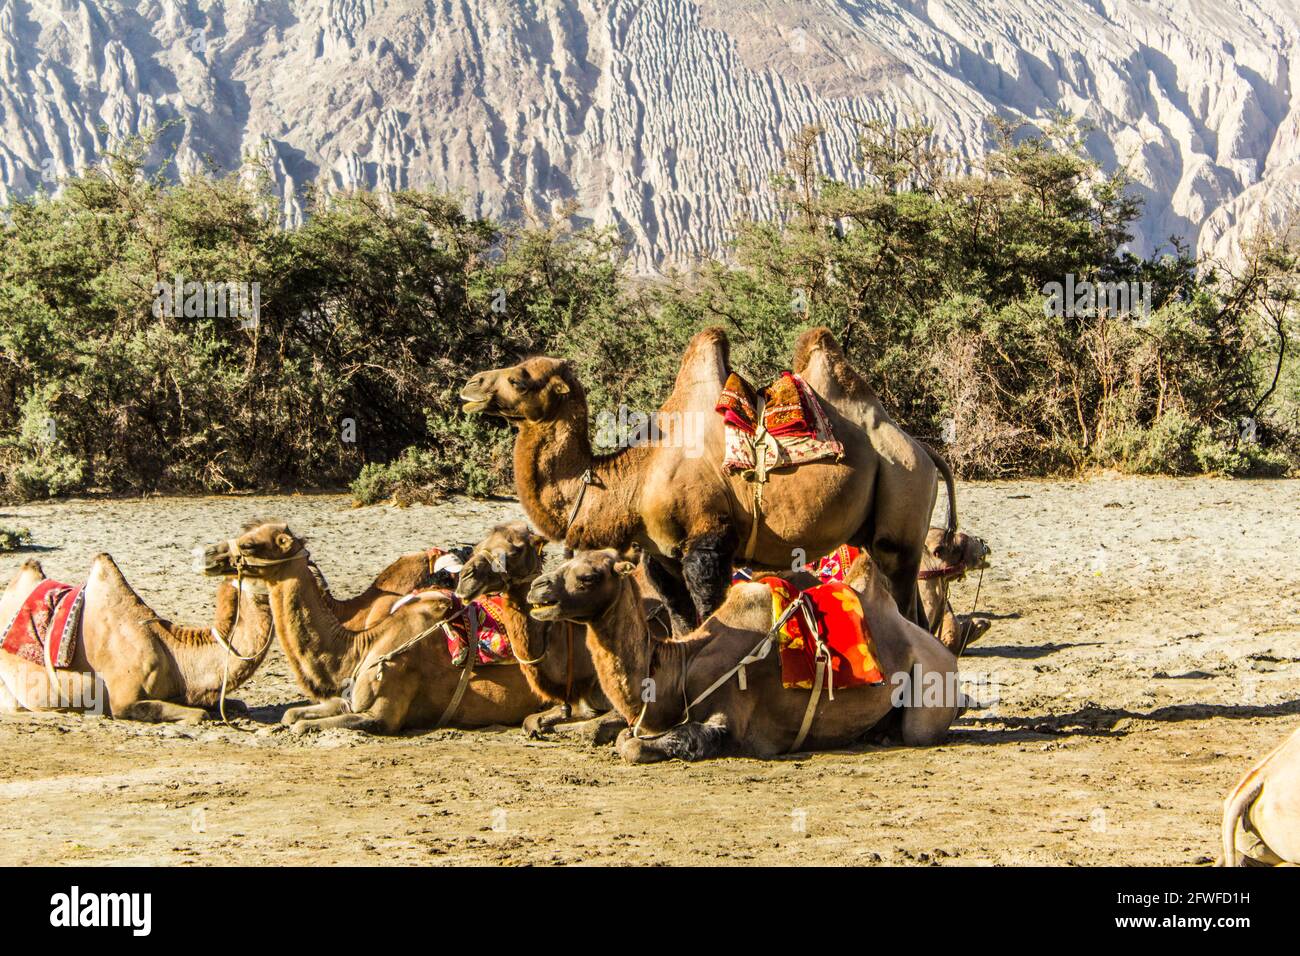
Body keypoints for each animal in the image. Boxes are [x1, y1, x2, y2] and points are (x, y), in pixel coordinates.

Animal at [199, 521, 545, 734]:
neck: (360, 644)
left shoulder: (381, 716)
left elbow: (301, 725)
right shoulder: (349, 698)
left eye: (249, 544)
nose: (206, 553)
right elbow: (292, 715)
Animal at [462, 326, 953, 633]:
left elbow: (713, 612)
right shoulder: (660, 555)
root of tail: (924, 451)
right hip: (878, 524)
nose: (471, 384)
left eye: (521, 379)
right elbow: (682, 622)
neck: (636, 479)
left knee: (905, 595)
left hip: (901, 503)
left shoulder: (707, 542)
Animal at [524, 548, 961, 762]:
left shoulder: (731, 718)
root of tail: (948, 656)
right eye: (567, 561)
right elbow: (616, 734)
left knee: (918, 730)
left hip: (929, 690)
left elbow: (633, 745)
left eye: (588, 576)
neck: (680, 666)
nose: (536, 588)